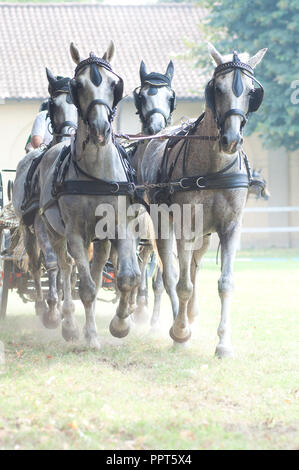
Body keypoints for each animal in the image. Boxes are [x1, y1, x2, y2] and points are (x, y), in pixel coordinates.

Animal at [12, 70, 78, 326]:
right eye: (54, 104)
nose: (70, 136)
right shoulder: (41, 222)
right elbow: (50, 263)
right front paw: (51, 311)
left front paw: (63, 305)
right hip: (27, 227)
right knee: (34, 263)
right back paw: (42, 305)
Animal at [39, 41, 141, 348]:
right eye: (79, 85)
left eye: (113, 84)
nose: (100, 128)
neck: (96, 175)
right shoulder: (74, 233)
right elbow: (84, 287)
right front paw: (90, 336)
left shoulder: (119, 227)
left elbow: (127, 277)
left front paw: (120, 324)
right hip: (55, 233)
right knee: (65, 268)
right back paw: (70, 323)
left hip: (100, 239)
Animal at [142, 44, 268, 358]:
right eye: (218, 88)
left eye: (251, 91)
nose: (231, 139)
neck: (213, 167)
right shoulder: (183, 227)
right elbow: (182, 284)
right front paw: (179, 331)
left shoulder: (230, 227)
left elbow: (225, 283)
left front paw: (223, 343)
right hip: (163, 226)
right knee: (171, 275)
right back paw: (178, 321)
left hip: (204, 235)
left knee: (194, 268)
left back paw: (191, 314)